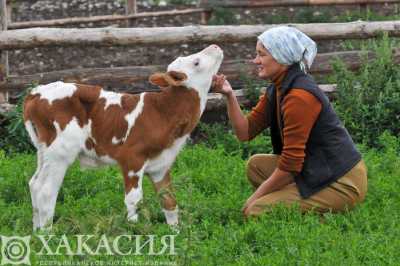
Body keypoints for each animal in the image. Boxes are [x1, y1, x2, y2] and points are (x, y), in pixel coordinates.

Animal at [23, 44, 223, 230]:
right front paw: (134, 232)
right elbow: (134, 199)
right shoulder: (131, 159)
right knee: (46, 191)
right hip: (60, 152)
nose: (215, 46)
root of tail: (36, 92)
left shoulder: (161, 165)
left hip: (43, 150)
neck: (163, 112)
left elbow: (169, 201)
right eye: (196, 62)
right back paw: (48, 234)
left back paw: (36, 231)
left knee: (34, 184)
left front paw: (176, 233)